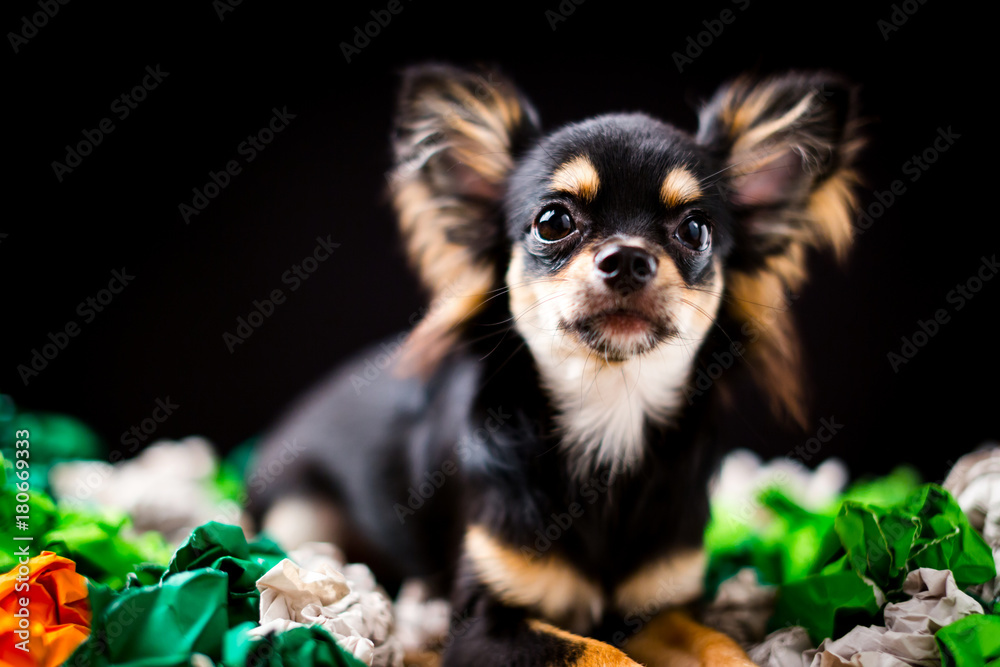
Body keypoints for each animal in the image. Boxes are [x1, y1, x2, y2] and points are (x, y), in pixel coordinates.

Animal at [248, 64, 860, 667]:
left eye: (695, 230)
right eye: (552, 221)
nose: (628, 257)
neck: (609, 412)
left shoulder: (659, 610)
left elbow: (721, 646)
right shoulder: (483, 626)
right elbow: (601, 654)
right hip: (300, 518)